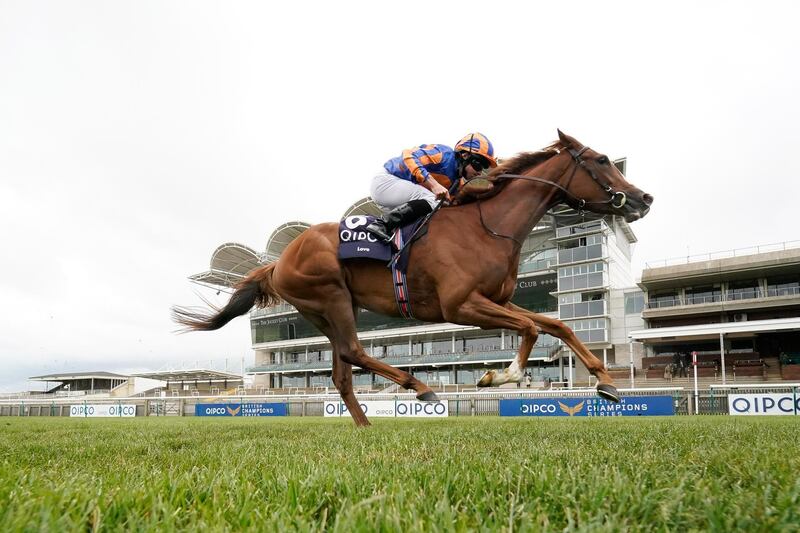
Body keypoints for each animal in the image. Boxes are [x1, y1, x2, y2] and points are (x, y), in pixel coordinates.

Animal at [173, 131, 648, 426]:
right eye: (601, 160)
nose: (644, 197)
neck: (487, 225)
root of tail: (278, 260)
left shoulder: (495, 299)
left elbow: (555, 324)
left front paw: (606, 383)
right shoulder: (461, 304)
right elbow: (531, 328)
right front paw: (499, 377)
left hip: (329, 309)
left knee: (342, 371)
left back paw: (366, 425)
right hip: (330, 297)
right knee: (354, 351)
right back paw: (419, 387)